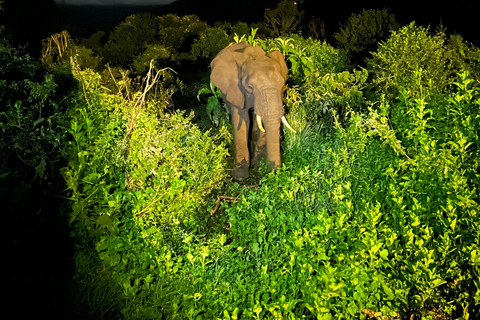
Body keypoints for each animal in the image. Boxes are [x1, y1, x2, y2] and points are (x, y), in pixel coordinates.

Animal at [211, 41, 294, 181]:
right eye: (250, 87)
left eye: (282, 85)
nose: (276, 173)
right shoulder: (237, 90)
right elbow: (242, 121)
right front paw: (239, 177)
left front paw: (258, 165)